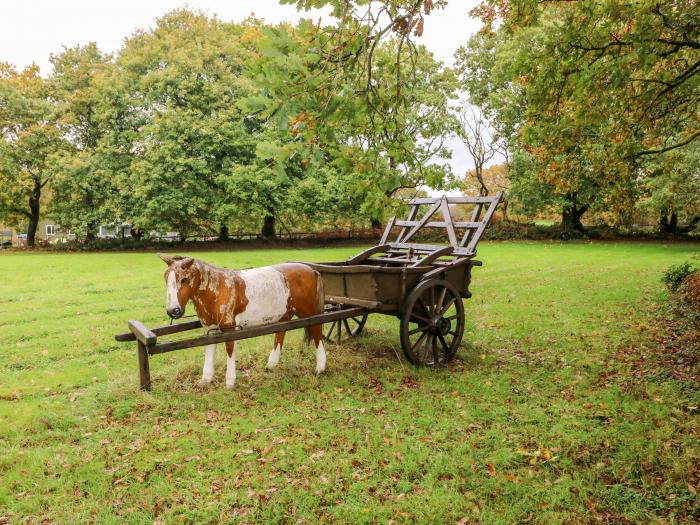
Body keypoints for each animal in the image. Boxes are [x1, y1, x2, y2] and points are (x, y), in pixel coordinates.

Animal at [157, 254, 326, 388]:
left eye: (184, 279)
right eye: (166, 279)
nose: (173, 311)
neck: (218, 288)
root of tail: (312, 270)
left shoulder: (230, 327)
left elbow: (230, 350)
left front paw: (230, 382)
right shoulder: (210, 328)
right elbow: (209, 348)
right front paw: (205, 380)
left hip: (310, 313)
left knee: (317, 332)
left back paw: (320, 367)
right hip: (286, 312)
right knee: (281, 331)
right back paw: (272, 364)